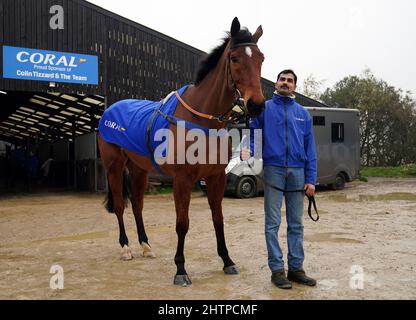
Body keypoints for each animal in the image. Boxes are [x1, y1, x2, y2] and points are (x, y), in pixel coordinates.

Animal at [97, 16, 264, 284]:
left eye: (261, 58)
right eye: (235, 58)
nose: (256, 105)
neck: (201, 120)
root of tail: (109, 111)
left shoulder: (215, 177)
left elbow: (218, 219)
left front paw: (227, 261)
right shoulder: (182, 179)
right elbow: (182, 223)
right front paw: (180, 269)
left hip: (139, 169)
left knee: (137, 205)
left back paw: (145, 245)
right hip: (114, 167)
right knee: (121, 206)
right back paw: (125, 248)